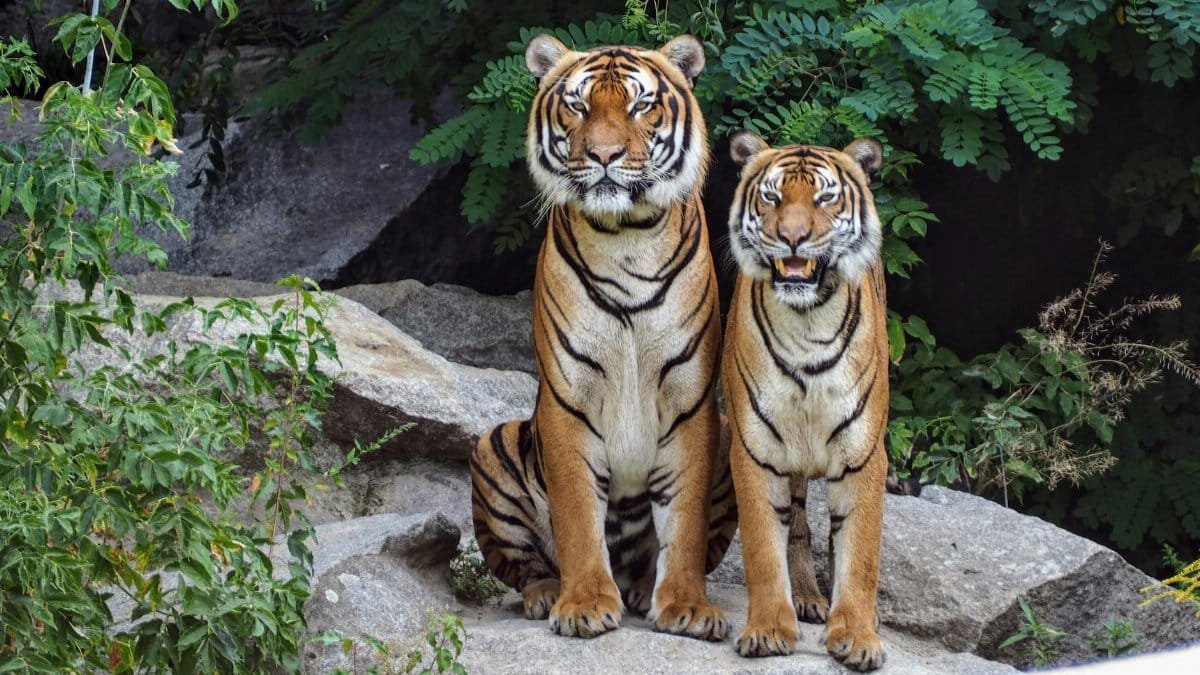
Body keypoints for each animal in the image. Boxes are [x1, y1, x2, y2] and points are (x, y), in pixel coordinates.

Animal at [468, 34, 737, 642]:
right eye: (578, 105)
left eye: (640, 106)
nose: (605, 156)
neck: (626, 237)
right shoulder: (568, 399)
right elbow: (575, 515)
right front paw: (585, 603)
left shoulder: (691, 402)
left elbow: (684, 523)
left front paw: (686, 605)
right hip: (493, 444)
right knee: (522, 566)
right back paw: (547, 593)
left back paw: (641, 589)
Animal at [721, 131, 889, 671]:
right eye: (772, 198)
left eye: (824, 198)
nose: (792, 237)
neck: (807, 323)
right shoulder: (754, 450)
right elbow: (762, 547)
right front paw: (769, 629)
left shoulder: (864, 455)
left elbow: (859, 554)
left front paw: (856, 634)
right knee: (796, 526)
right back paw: (807, 599)